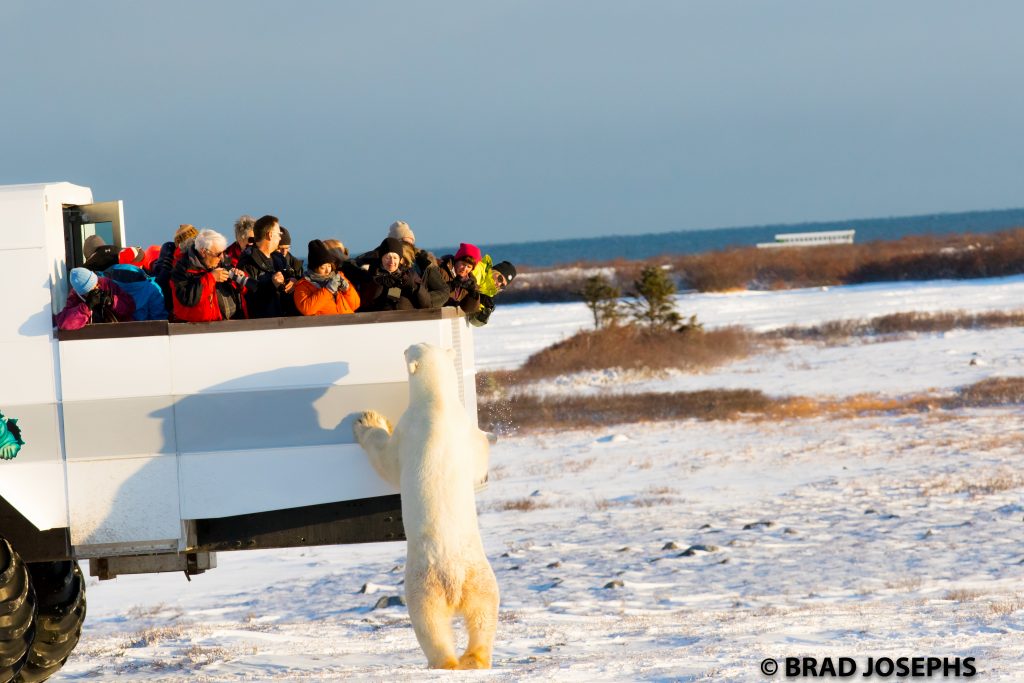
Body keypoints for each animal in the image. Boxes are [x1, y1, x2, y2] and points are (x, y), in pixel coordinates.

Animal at [353, 343, 499, 670]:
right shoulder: (466, 432)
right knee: (484, 612)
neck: (438, 403)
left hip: (423, 584)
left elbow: (385, 457)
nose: (404, 346)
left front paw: (367, 420)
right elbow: (479, 454)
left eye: (408, 350)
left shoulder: (408, 432)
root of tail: (454, 581)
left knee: (428, 623)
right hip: (480, 577)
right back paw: (475, 657)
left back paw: (445, 661)